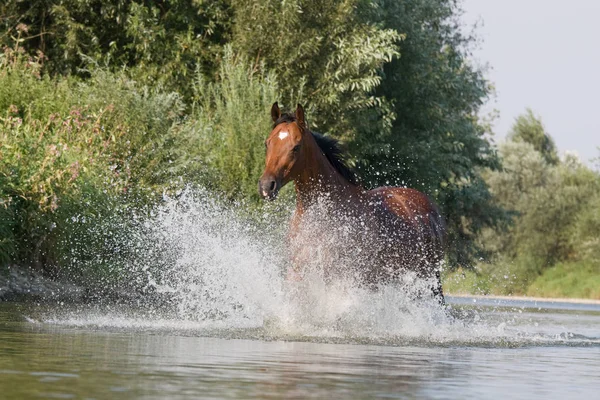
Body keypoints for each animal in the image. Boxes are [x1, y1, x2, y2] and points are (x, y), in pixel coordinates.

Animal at [258, 103, 446, 304]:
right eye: (267, 143)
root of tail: (430, 207)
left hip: (429, 279)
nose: (266, 186)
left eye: (296, 146)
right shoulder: (298, 271)